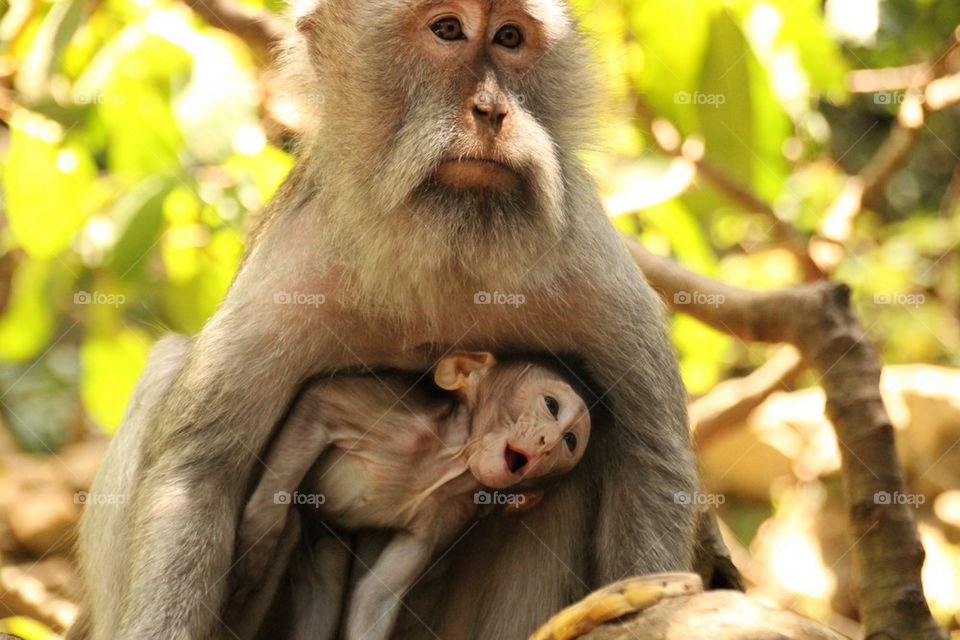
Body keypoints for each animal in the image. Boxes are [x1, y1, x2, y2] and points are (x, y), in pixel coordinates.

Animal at [225, 350, 591, 640]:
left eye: (570, 441)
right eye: (551, 405)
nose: (548, 443)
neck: (450, 465)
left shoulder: (444, 518)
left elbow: (374, 598)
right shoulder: (402, 421)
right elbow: (318, 403)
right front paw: (258, 538)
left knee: (326, 575)